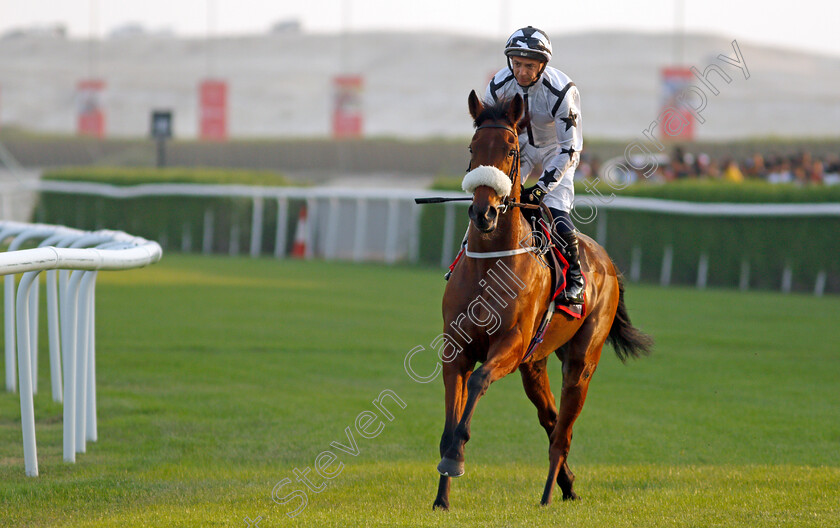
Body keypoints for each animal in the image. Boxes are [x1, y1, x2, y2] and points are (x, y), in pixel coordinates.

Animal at [436, 89, 652, 508]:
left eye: (511, 150)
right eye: (472, 148)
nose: (484, 213)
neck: (491, 263)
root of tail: (607, 261)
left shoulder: (513, 342)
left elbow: (479, 381)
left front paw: (456, 457)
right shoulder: (456, 348)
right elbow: (451, 417)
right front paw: (442, 495)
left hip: (581, 360)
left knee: (562, 431)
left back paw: (550, 493)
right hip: (534, 365)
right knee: (551, 420)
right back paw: (567, 484)